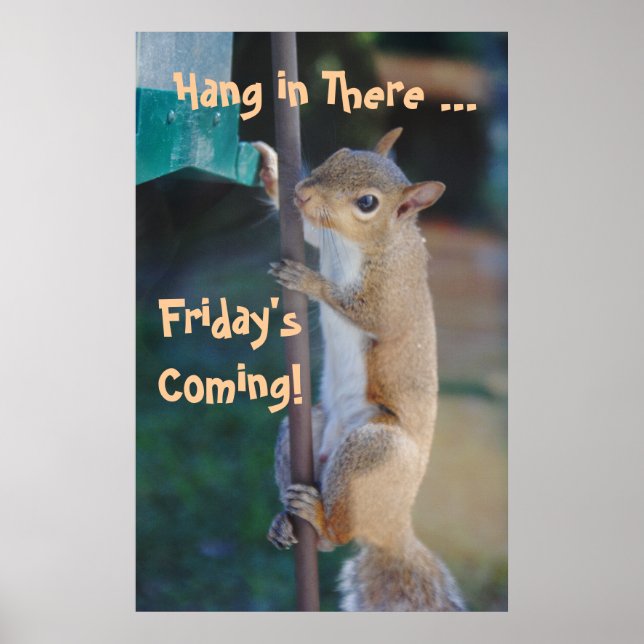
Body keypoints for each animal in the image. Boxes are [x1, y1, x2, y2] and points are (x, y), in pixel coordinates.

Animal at [253, 129, 465, 611]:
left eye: (367, 203)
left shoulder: (391, 295)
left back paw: (319, 519)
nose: (303, 192)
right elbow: (310, 230)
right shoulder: (322, 231)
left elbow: (364, 311)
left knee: (340, 533)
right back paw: (286, 520)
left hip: (374, 449)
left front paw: (311, 282)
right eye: (340, 154)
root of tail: (393, 525)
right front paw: (272, 170)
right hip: (310, 429)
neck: (360, 244)